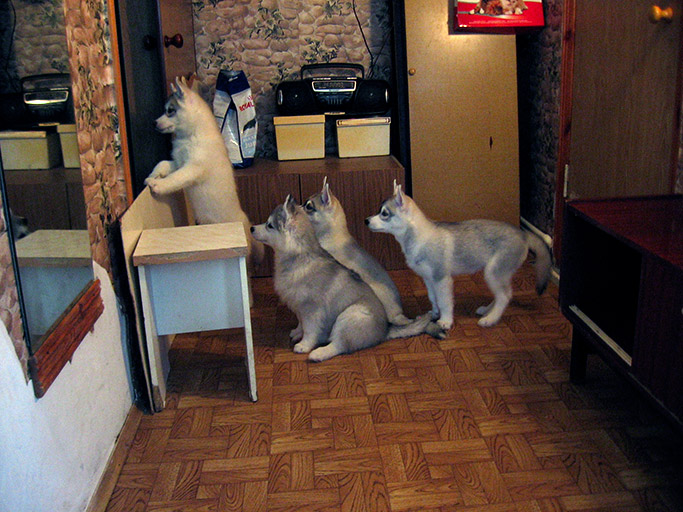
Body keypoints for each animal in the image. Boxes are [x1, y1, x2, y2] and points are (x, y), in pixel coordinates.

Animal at [145, 77, 264, 265]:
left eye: (170, 110)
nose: (154, 122)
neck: (191, 136)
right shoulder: (178, 161)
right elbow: (163, 164)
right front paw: (154, 175)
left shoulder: (192, 168)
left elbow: (175, 179)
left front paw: (158, 185)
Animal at [250, 195, 444, 362]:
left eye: (269, 225)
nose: (251, 228)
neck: (299, 256)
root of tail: (385, 330)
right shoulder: (299, 306)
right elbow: (301, 323)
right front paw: (297, 332)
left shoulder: (312, 310)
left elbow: (310, 330)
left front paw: (304, 345)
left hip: (349, 316)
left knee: (339, 345)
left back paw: (318, 353)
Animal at [366, 181, 551, 329]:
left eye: (384, 213)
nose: (366, 220)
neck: (419, 237)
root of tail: (523, 234)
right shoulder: (428, 278)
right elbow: (433, 298)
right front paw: (434, 314)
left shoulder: (442, 279)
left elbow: (445, 302)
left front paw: (446, 321)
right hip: (496, 275)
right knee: (503, 294)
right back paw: (487, 310)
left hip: (493, 272)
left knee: (505, 296)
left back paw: (490, 319)